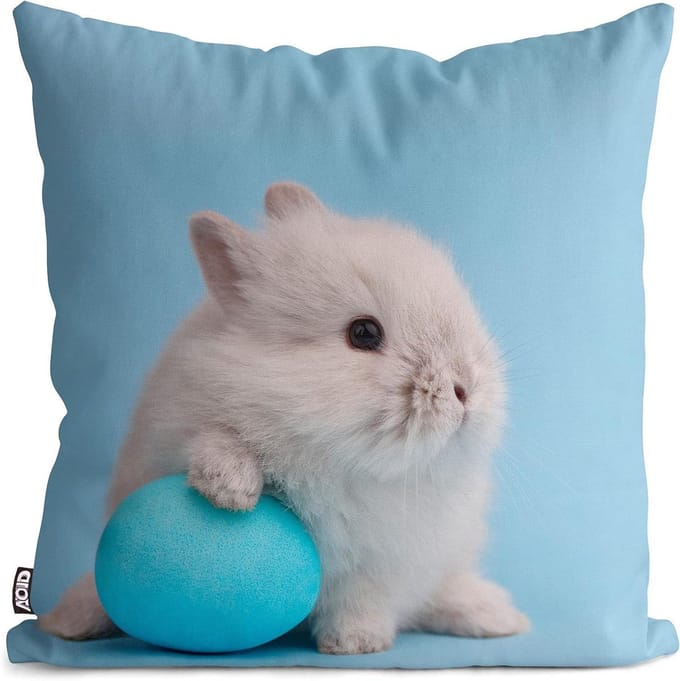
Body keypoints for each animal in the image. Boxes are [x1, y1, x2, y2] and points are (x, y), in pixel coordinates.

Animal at [39, 182, 529, 654]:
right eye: (363, 333)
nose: (465, 390)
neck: (338, 461)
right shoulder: (174, 432)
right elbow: (216, 438)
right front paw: (230, 490)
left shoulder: (385, 561)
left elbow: (362, 599)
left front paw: (354, 643)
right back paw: (64, 623)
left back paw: (500, 618)